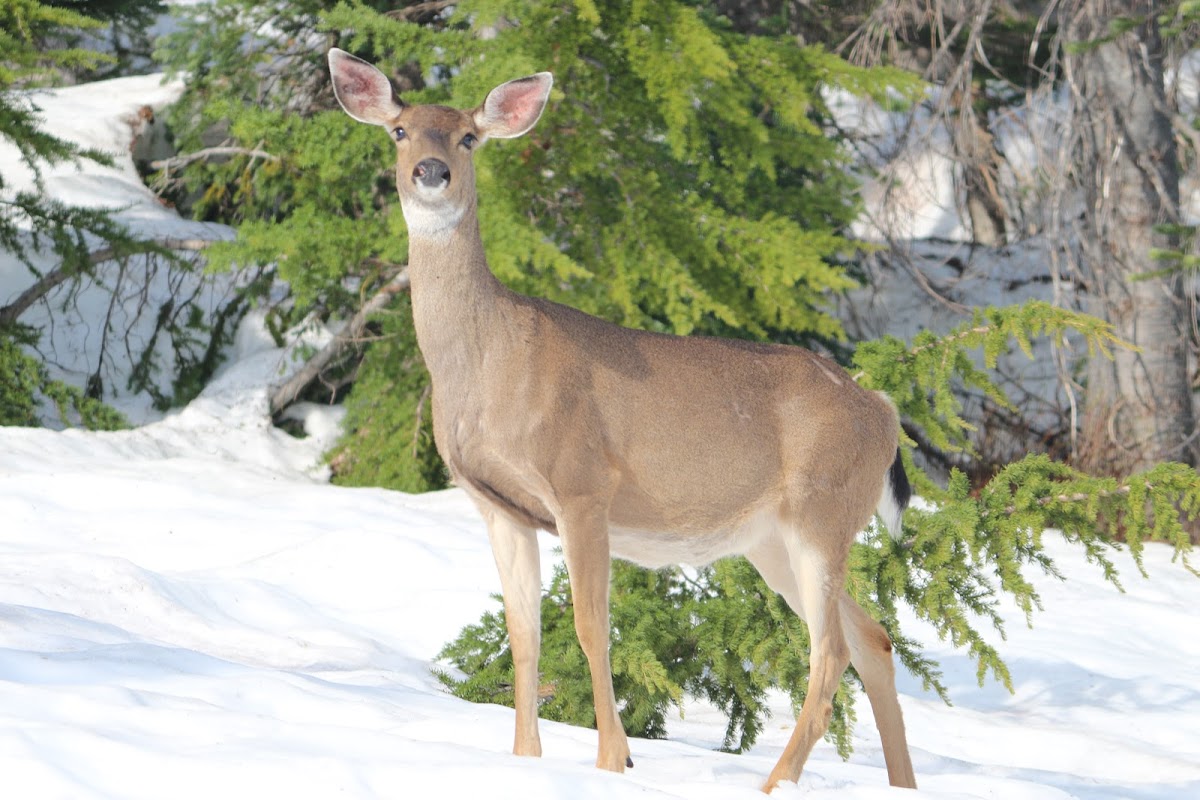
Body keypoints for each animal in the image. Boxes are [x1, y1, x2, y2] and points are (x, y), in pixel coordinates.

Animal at [328, 48, 916, 796]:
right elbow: (524, 636)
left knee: (831, 651)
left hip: (822, 509)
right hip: (772, 539)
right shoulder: (499, 506)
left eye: (468, 137)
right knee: (874, 639)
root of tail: (883, 410)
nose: (431, 173)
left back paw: (772, 782)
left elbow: (589, 627)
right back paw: (899, 783)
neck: (487, 367)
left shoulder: (582, 485)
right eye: (400, 131)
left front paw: (615, 759)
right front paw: (524, 761)